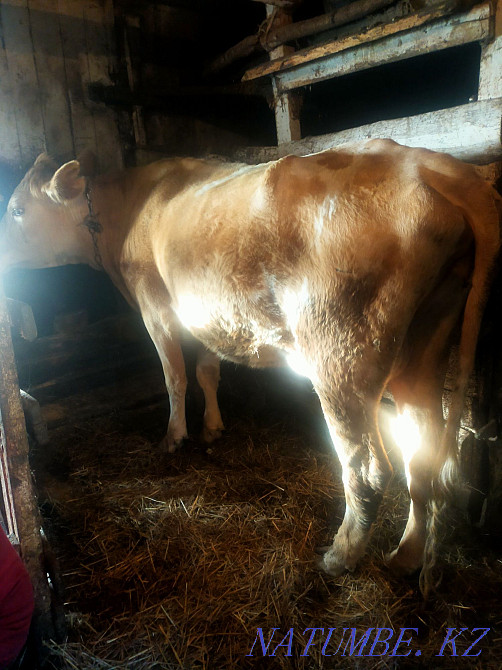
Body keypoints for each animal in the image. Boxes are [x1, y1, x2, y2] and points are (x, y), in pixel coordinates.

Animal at [1, 139, 500, 591]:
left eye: (17, 209)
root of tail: (437, 167)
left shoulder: (155, 305)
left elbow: (174, 375)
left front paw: (175, 436)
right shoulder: (204, 313)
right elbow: (206, 370)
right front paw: (213, 427)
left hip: (340, 357)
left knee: (366, 469)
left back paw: (339, 556)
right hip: (426, 349)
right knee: (422, 455)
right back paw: (406, 557)